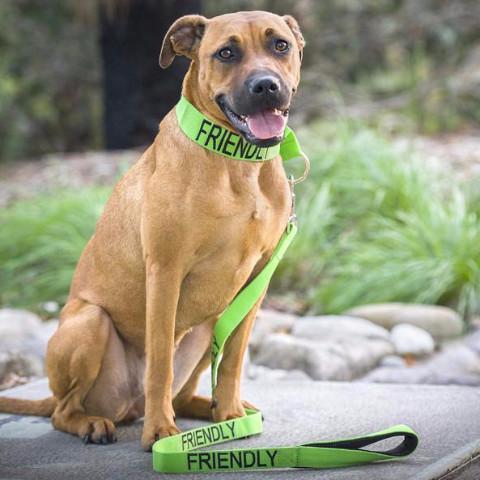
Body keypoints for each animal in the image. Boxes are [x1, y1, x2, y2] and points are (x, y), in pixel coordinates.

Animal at [0, 12, 304, 454]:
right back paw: (93, 423)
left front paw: (230, 414)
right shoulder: (165, 271)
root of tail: (128, 405)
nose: (266, 86)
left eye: (280, 45)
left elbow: (232, 358)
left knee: (184, 390)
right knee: (64, 410)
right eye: (226, 53)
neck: (236, 163)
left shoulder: (256, 281)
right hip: (89, 322)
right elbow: (159, 360)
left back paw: (217, 409)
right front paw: (160, 433)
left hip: (209, 324)